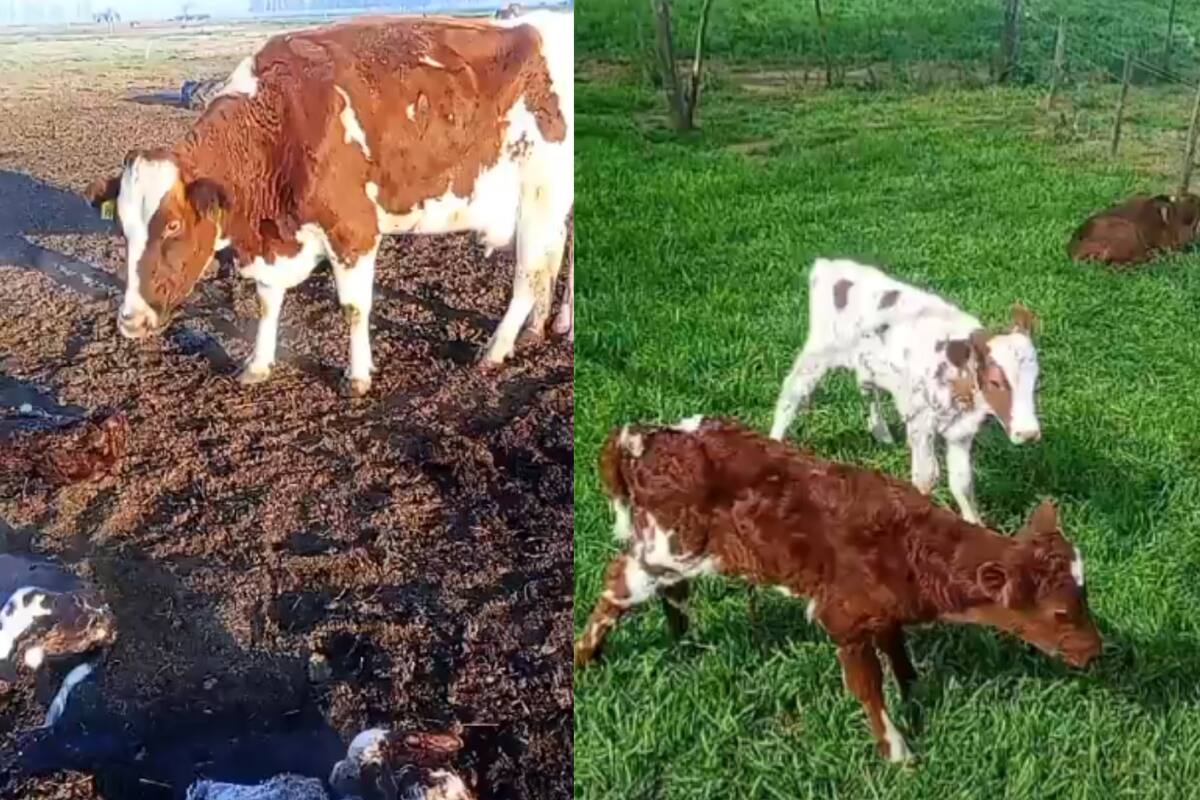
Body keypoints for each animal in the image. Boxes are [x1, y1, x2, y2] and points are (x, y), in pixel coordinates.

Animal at [85, 12, 573, 397]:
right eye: (123, 228)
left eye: (172, 226)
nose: (129, 321)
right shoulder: (274, 241)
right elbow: (267, 302)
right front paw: (258, 364)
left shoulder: (353, 230)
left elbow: (353, 308)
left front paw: (357, 376)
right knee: (553, 258)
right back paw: (541, 328)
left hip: (538, 198)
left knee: (528, 274)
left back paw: (497, 348)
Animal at [574, 417, 1102, 762]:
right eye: (1059, 613)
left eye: (1085, 599)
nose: (1097, 651)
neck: (909, 545)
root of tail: (643, 437)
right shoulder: (843, 616)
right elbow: (867, 686)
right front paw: (898, 753)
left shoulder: (883, 611)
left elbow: (900, 656)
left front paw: (915, 699)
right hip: (662, 547)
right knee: (616, 584)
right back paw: (586, 656)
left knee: (671, 589)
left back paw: (684, 638)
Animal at [770, 257, 1040, 525]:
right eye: (995, 382)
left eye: (1036, 380)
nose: (1029, 433)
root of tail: (829, 265)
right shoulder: (921, 422)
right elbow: (925, 478)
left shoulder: (961, 431)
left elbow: (962, 483)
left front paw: (975, 526)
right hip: (818, 354)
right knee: (792, 393)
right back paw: (774, 444)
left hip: (868, 364)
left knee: (867, 388)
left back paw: (882, 433)